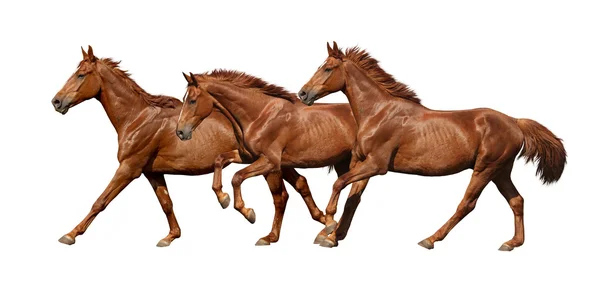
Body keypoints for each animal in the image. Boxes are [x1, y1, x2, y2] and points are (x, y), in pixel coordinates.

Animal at [50, 45, 318, 245]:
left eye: (80, 75)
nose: (56, 101)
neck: (137, 118)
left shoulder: (129, 168)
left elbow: (100, 201)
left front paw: (70, 235)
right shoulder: (151, 172)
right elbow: (166, 203)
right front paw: (171, 237)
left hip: (269, 167)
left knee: (281, 196)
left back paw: (266, 230)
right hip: (281, 163)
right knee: (301, 184)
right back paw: (321, 222)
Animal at [173, 69, 360, 244]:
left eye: (192, 100)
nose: (180, 132)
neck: (260, 115)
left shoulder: (270, 163)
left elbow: (243, 180)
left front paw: (254, 220)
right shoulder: (247, 157)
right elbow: (219, 160)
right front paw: (223, 198)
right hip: (341, 163)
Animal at [300, 41, 568, 250]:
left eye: (328, 68)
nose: (303, 94)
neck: (379, 113)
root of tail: (514, 121)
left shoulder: (377, 165)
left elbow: (339, 183)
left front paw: (328, 225)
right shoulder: (362, 163)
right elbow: (352, 199)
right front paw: (332, 236)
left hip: (485, 168)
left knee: (467, 204)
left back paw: (430, 239)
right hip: (500, 171)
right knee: (517, 200)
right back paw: (512, 243)